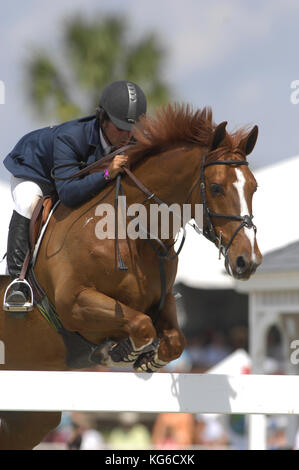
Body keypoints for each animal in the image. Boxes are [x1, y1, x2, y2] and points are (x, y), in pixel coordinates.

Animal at [0, 104, 262, 450]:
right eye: (217, 188)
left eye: (253, 187)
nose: (249, 261)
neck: (130, 230)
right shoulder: (75, 304)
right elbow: (140, 324)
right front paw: (121, 352)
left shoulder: (163, 303)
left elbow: (174, 340)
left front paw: (146, 359)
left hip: (31, 416)